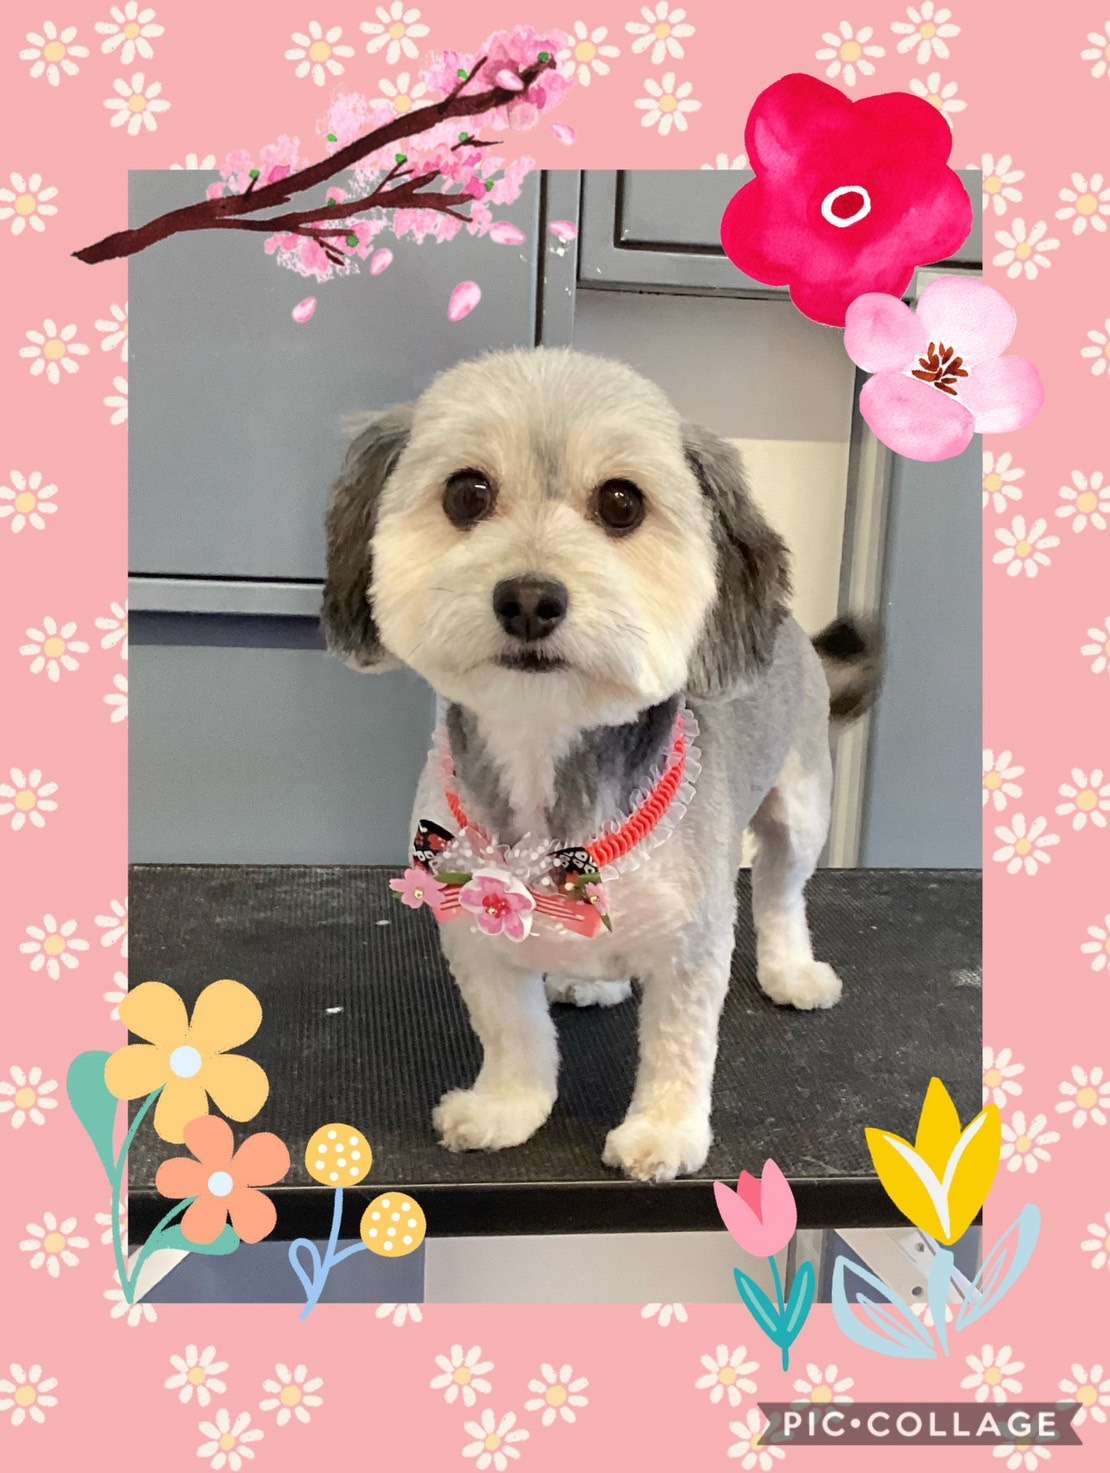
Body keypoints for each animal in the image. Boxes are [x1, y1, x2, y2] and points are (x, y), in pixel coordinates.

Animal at [321, 347, 878, 1183]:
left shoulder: (693, 937)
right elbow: (512, 1030)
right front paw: (506, 1106)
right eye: (467, 492)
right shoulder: (471, 925)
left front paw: (663, 1131)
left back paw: (791, 969)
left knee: (783, 890)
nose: (528, 597)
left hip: (802, 799)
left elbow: (678, 1044)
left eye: (622, 502)